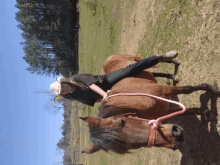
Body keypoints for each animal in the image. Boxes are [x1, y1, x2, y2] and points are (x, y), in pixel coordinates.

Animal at [80, 53, 218, 155]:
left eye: (122, 120)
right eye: (127, 146)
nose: (177, 137)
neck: (134, 103)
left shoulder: (164, 90)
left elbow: (188, 89)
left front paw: (211, 88)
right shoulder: (165, 110)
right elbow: (187, 111)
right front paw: (206, 112)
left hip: (136, 61)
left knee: (152, 59)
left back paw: (172, 57)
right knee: (154, 73)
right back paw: (173, 76)